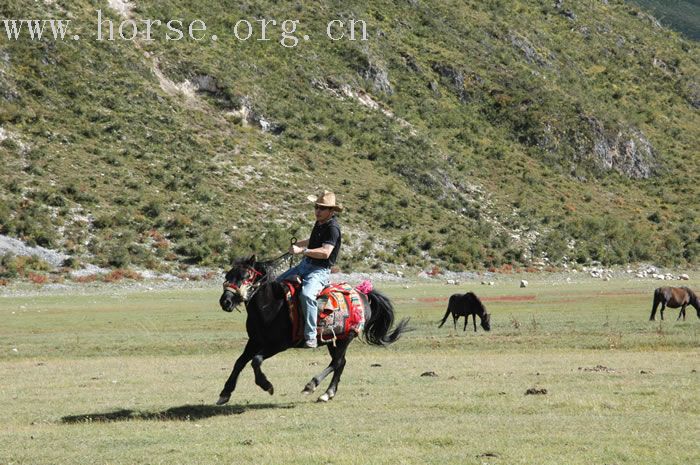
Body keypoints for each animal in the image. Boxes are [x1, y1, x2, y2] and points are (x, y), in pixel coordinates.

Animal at [216, 256, 408, 404]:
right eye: (228, 275)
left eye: (245, 276)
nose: (225, 301)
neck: (271, 306)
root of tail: (362, 294)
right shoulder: (255, 341)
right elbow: (239, 362)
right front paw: (225, 393)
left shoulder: (279, 345)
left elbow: (256, 361)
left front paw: (266, 385)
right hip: (333, 340)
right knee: (341, 362)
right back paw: (328, 393)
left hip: (346, 338)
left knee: (337, 362)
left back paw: (312, 386)